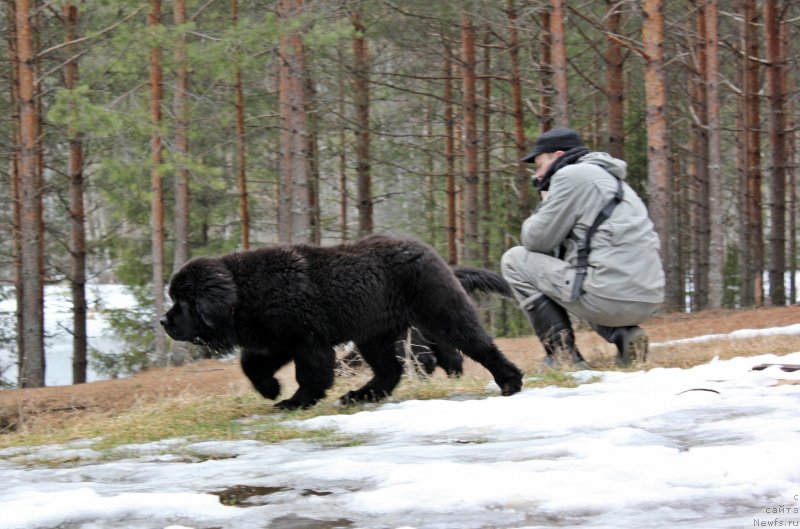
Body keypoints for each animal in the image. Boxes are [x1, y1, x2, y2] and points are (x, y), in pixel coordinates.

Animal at [162, 234, 524, 408]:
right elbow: (250, 364)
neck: (242, 291)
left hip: (441, 313)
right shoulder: (277, 340)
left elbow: (311, 375)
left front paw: (295, 402)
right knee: (391, 370)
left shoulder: (308, 341)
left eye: (183, 302)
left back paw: (510, 382)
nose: (164, 321)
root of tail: (430, 253)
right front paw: (271, 390)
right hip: (374, 335)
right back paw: (360, 396)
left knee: (480, 346)